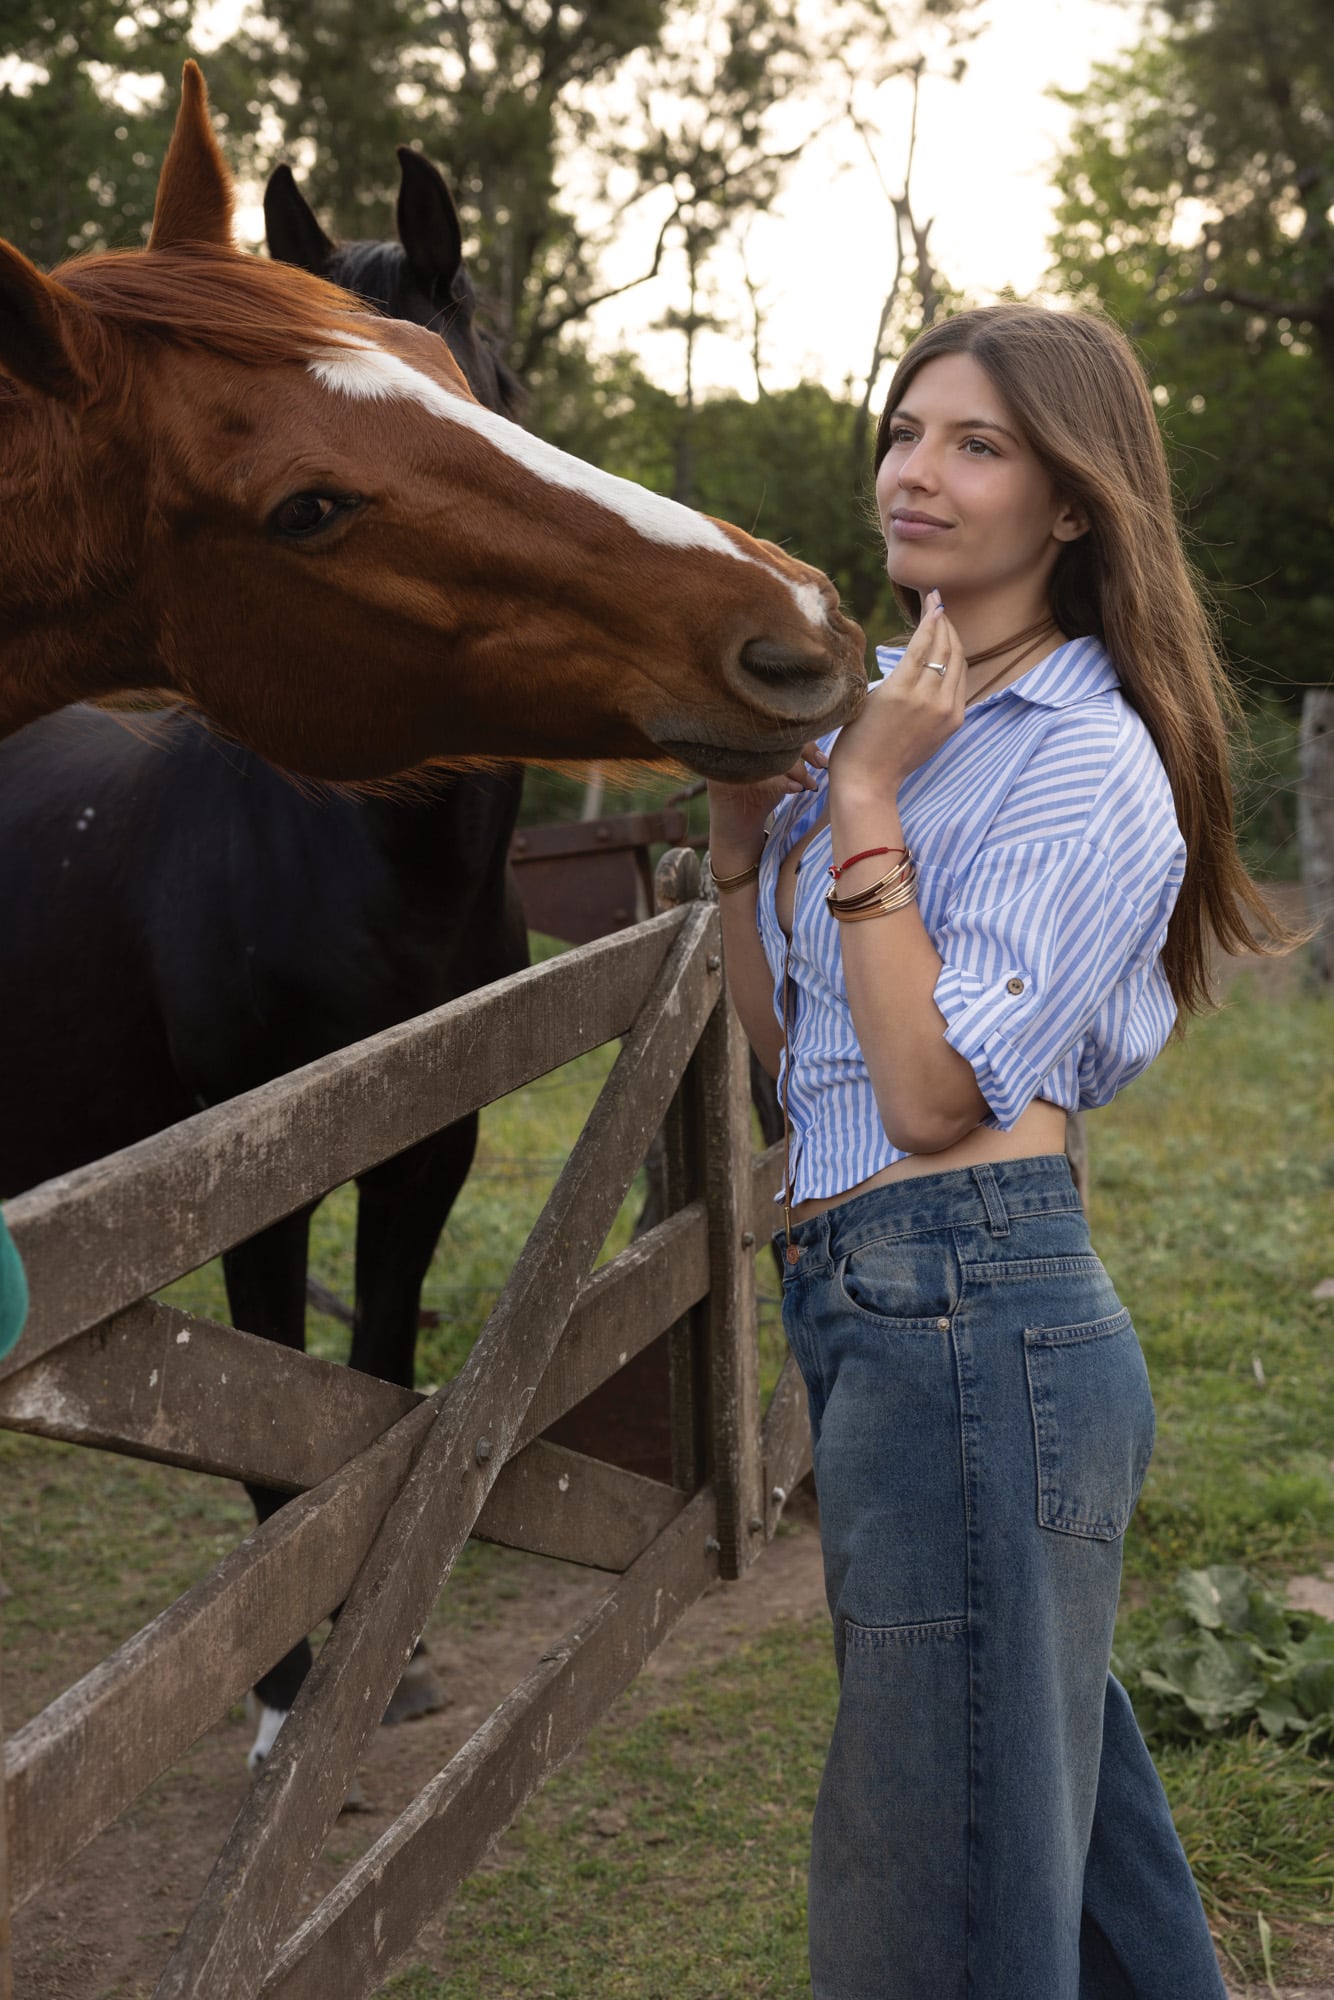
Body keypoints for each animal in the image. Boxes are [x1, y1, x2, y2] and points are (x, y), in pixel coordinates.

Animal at [0, 148, 532, 1768]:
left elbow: (373, 1382)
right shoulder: (251, 1175)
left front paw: (386, 1646)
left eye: (466, 388)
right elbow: (280, 1428)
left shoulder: (429, 1148)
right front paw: (294, 1691)